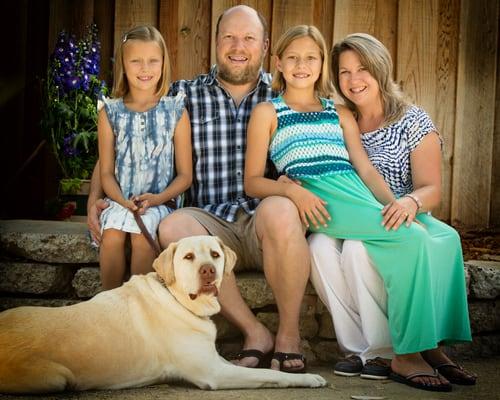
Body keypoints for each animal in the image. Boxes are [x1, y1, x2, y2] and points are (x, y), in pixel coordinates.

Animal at [0, 236, 326, 392]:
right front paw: (309, 379)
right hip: (55, 377)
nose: (208, 271)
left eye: (215, 255)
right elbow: (271, 374)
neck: (179, 301)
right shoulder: (214, 373)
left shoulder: (216, 360)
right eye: (188, 257)